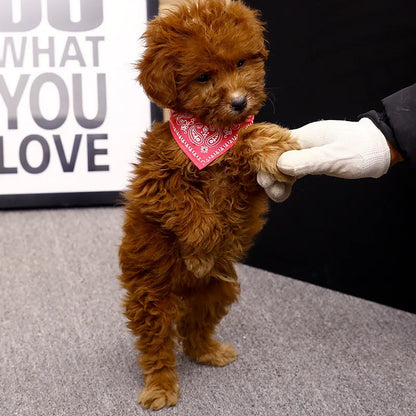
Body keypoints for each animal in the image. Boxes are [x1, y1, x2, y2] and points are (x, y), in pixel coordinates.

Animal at [118, 0, 300, 410]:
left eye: (241, 63)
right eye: (203, 77)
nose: (239, 102)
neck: (210, 132)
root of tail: (183, 293)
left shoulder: (246, 188)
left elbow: (247, 142)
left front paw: (270, 143)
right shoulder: (155, 181)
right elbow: (189, 207)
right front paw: (200, 249)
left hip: (218, 290)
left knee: (193, 328)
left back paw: (208, 351)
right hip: (151, 296)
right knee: (157, 346)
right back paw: (161, 386)